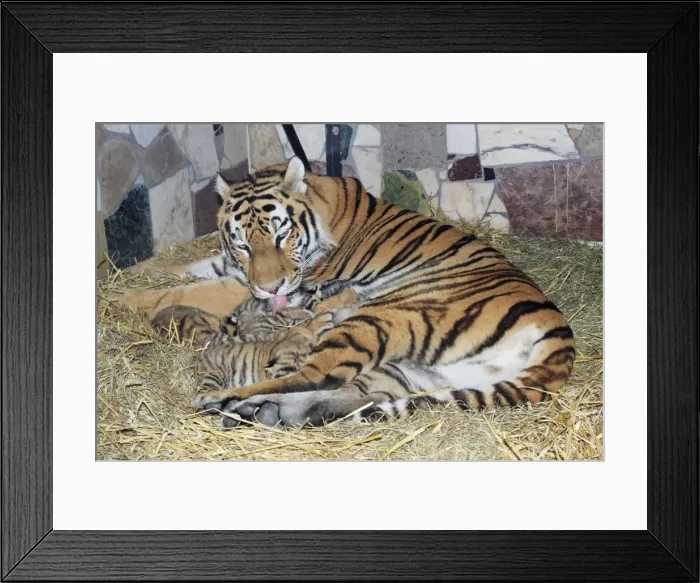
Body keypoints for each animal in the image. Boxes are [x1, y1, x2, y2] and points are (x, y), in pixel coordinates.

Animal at [117, 155, 575, 428]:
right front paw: (132, 276)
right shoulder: (231, 266)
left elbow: (184, 291)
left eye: (281, 235)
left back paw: (221, 401)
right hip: (419, 370)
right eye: (243, 244)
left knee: (308, 375)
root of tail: (559, 338)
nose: (270, 288)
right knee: (347, 392)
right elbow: (177, 271)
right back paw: (266, 413)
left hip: (383, 317)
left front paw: (122, 300)